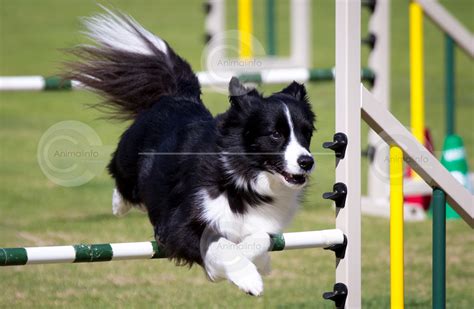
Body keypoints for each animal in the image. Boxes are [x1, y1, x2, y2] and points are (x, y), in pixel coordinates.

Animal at [65, 8, 314, 294]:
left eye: (306, 133)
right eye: (275, 134)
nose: (307, 162)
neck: (242, 175)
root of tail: (178, 96)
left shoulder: (262, 223)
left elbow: (259, 238)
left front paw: (258, 264)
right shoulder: (178, 224)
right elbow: (220, 244)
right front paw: (246, 277)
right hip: (129, 161)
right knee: (122, 181)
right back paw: (119, 204)